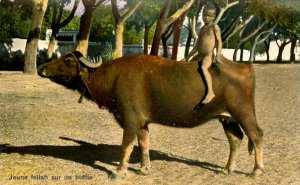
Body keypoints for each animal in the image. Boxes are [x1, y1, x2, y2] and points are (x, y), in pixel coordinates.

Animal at [38, 51, 264, 179]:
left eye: (68, 59)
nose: (41, 67)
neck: (112, 77)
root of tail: (245, 67)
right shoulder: (142, 122)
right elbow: (144, 143)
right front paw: (144, 168)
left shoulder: (130, 119)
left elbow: (126, 146)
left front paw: (120, 171)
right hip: (227, 118)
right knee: (235, 139)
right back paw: (227, 169)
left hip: (243, 113)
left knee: (256, 135)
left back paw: (256, 170)